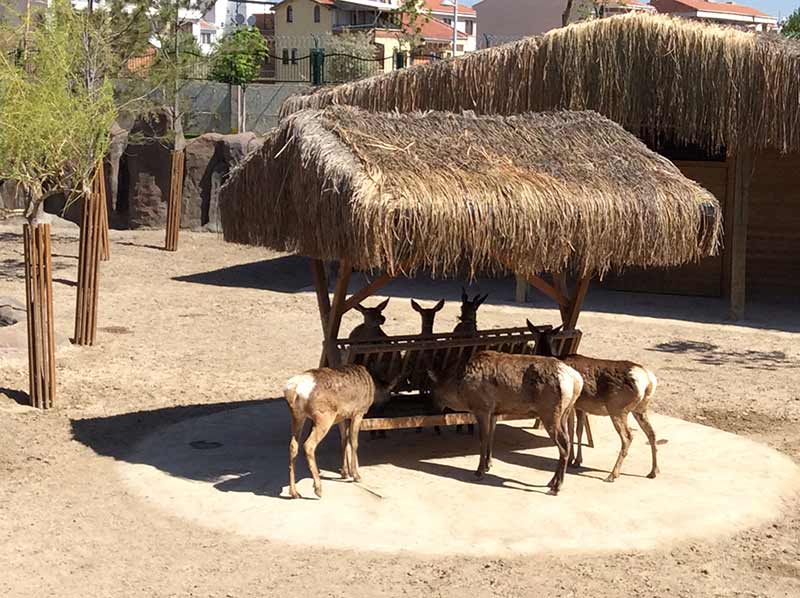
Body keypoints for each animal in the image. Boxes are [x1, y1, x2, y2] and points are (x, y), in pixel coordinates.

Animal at [284, 366, 400, 502]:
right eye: (388, 399)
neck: (374, 387)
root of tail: (293, 390)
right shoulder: (358, 411)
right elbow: (354, 442)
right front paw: (356, 475)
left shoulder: (342, 416)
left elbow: (344, 440)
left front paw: (344, 472)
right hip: (324, 416)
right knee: (309, 445)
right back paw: (318, 489)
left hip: (297, 416)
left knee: (293, 445)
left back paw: (294, 492)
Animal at [428, 352, 584, 496]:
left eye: (432, 390)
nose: (432, 407)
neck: (460, 389)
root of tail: (577, 381)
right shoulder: (494, 412)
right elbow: (491, 438)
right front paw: (488, 465)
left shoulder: (482, 408)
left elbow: (483, 440)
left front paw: (479, 471)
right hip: (564, 413)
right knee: (568, 440)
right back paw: (552, 481)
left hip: (550, 413)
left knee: (563, 446)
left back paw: (556, 486)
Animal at [528, 322, 660, 486]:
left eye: (534, 341)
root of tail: (648, 380)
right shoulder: (581, 406)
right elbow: (579, 431)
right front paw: (577, 460)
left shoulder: (571, 404)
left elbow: (571, 430)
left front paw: (571, 460)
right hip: (641, 409)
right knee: (652, 433)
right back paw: (653, 471)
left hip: (617, 408)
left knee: (628, 437)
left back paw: (613, 474)